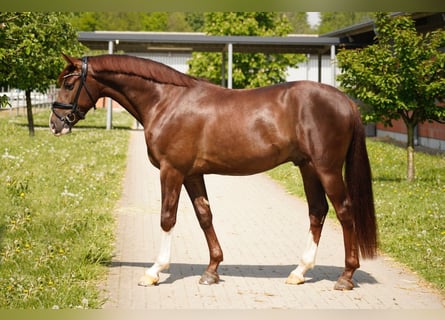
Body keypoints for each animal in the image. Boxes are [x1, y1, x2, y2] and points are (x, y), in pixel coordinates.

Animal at [50, 54, 376, 290]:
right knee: (317, 211)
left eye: (68, 84)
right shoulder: (192, 174)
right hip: (308, 168)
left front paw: (154, 271)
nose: (56, 124)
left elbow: (167, 218)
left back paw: (346, 276)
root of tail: (346, 101)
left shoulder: (172, 171)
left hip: (327, 169)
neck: (166, 101)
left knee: (344, 212)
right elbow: (204, 216)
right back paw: (299, 271)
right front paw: (211, 270)